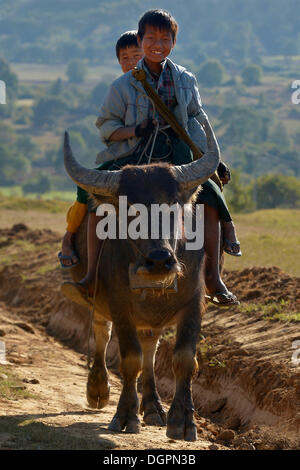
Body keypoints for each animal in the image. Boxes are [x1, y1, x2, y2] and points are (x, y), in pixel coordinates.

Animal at [63, 117, 219, 440]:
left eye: (172, 206)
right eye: (128, 210)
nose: (159, 260)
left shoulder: (195, 304)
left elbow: (184, 359)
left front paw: (183, 421)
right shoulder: (120, 305)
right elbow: (129, 359)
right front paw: (125, 416)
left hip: (151, 319)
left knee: (151, 347)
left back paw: (153, 407)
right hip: (99, 299)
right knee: (102, 334)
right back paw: (98, 389)